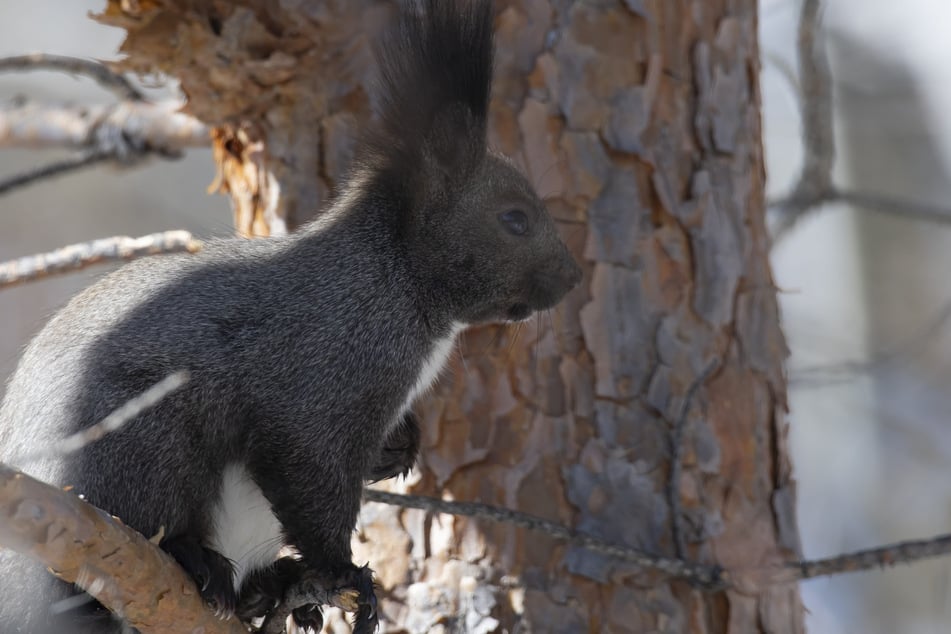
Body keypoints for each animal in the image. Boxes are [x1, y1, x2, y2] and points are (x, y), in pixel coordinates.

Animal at [0, 0, 581, 632]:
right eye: (514, 218)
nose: (574, 277)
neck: (396, 274)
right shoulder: (321, 373)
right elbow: (308, 476)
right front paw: (345, 574)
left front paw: (400, 448)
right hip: (142, 440)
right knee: (145, 518)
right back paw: (195, 559)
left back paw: (270, 588)